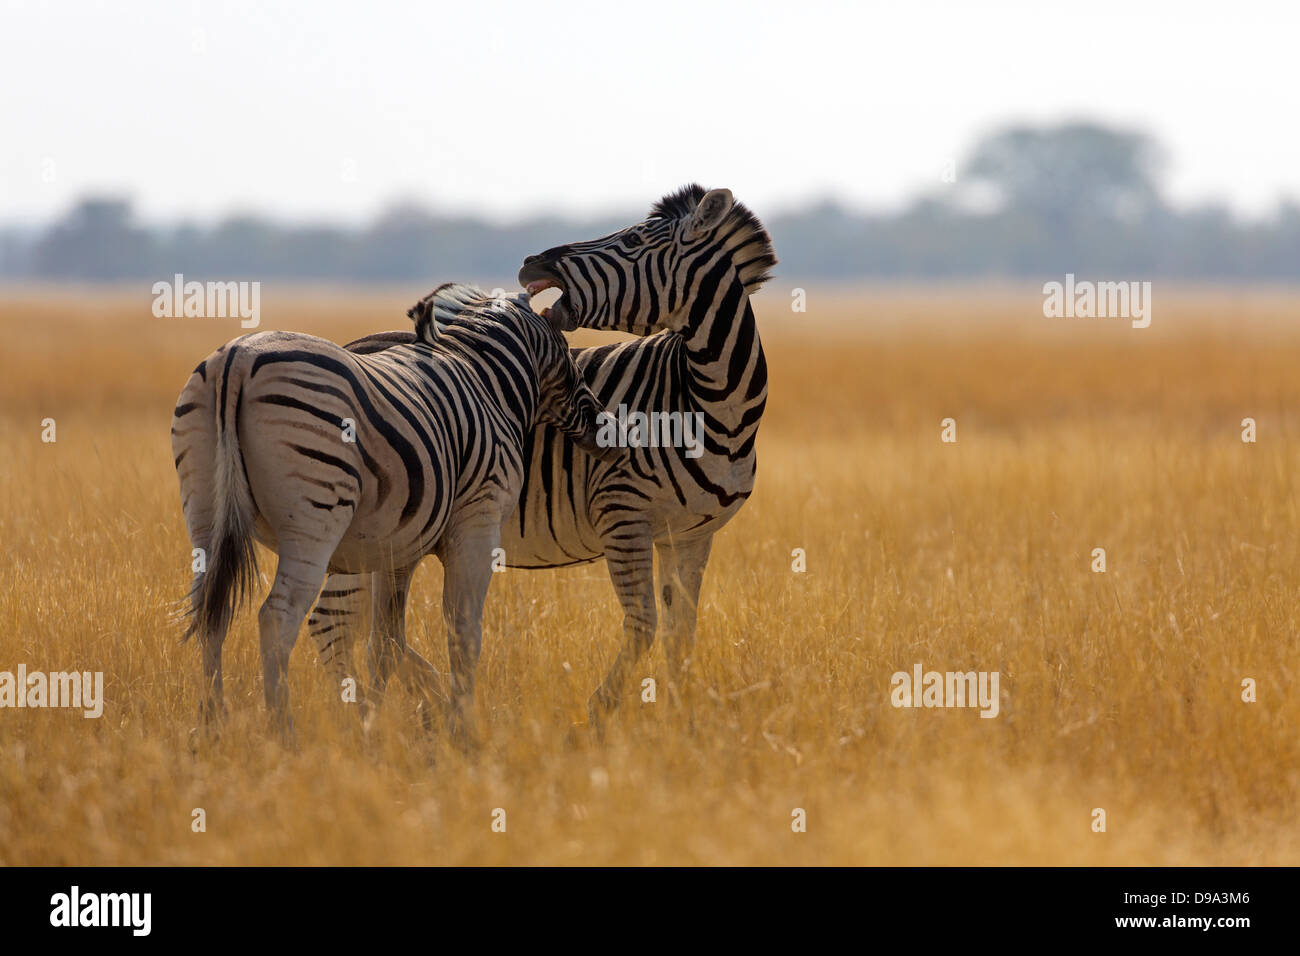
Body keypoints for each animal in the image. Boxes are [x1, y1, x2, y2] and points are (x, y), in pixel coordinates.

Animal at [170, 282, 619, 739]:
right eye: (566, 349)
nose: (608, 429)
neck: (489, 384)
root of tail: (236, 360)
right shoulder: (478, 522)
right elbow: (463, 632)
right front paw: (461, 726)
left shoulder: (397, 547)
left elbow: (385, 643)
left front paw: (375, 724)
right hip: (314, 519)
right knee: (277, 618)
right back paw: (283, 732)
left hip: (204, 511)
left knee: (212, 612)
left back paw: (211, 723)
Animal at [311, 185, 776, 730]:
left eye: (633, 240)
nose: (530, 261)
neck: (714, 407)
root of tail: (354, 343)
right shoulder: (621, 512)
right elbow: (643, 625)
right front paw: (598, 713)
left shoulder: (691, 535)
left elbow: (681, 636)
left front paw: (684, 726)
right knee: (332, 623)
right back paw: (370, 715)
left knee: (363, 631)